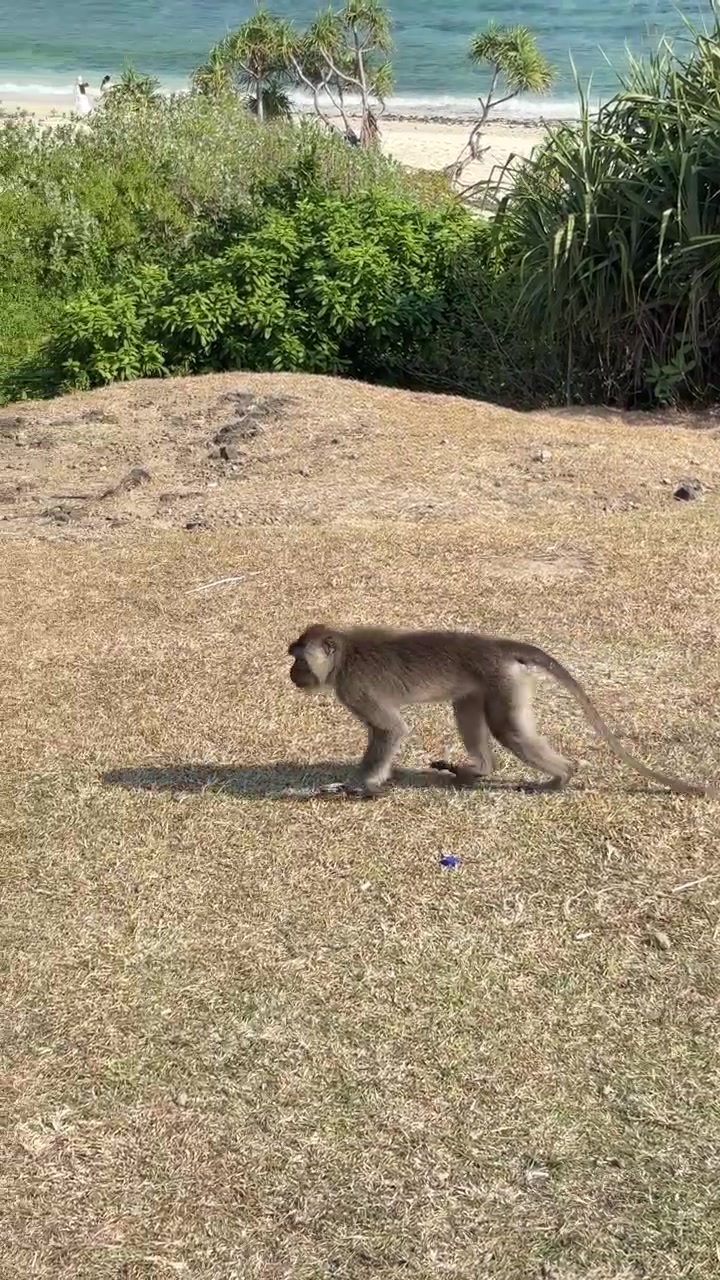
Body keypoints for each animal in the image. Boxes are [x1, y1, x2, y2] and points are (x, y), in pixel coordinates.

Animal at [287, 624, 717, 800]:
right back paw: (478, 770)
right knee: (467, 708)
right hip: (487, 682)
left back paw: (561, 777)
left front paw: (360, 785)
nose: (291, 674)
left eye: (299, 660)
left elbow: (390, 730)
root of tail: (495, 645)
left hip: (503, 681)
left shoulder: (354, 688)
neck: (344, 653)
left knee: (508, 730)